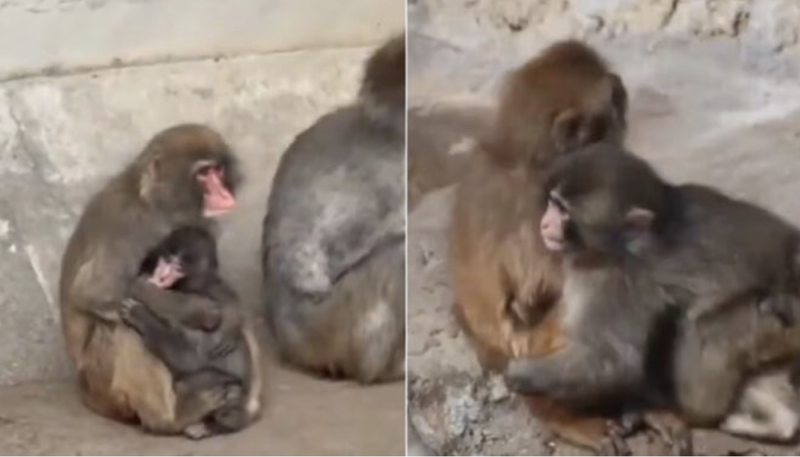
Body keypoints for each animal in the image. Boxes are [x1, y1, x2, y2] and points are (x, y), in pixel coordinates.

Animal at [120, 226, 262, 434]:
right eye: (167, 259)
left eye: (179, 267)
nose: (163, 272)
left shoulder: (202, 307)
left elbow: (186, 359)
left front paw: (140, 310)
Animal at [504, 142, 800, 444]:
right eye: (553, 204)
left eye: (563, 211)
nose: (544, 224)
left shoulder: (612, 279)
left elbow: (613, 361)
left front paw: (520, 373)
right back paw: (778, 421)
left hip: (771, 318)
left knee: (704, 327)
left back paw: (684, 410)